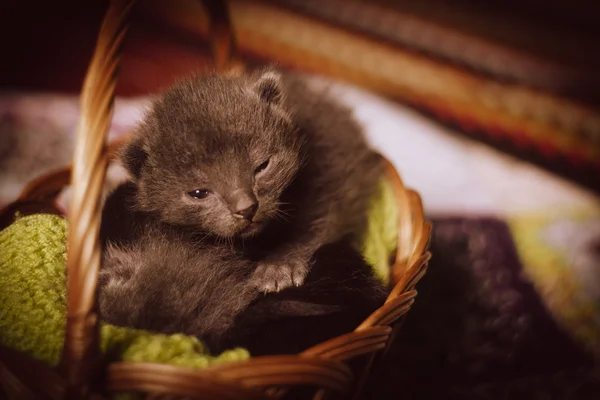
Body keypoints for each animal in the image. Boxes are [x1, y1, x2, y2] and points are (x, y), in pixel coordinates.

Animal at [107, 68, 384, 294]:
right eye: (199, 193)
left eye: (262, 166)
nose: (247, 208)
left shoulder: (329, 176)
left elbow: (316, 224)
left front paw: (279, 266)